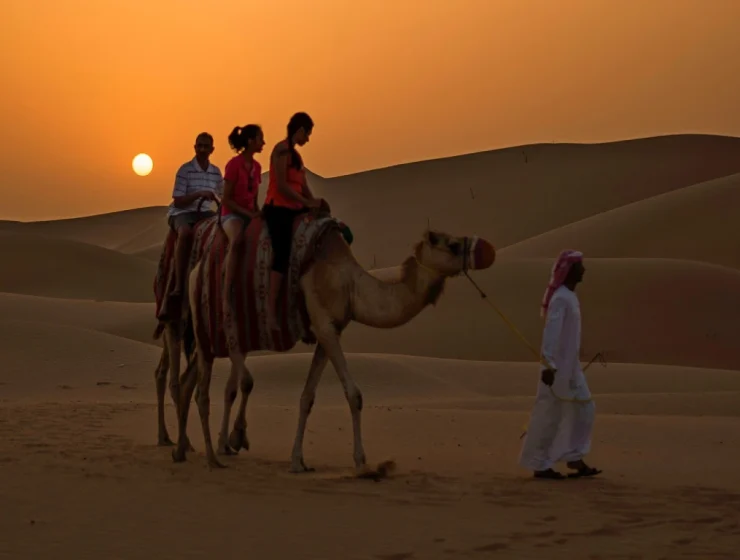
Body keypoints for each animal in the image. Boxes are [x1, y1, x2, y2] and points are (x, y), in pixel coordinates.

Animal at [171, 212, 496, 473]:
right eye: (452, 244)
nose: (487, 249)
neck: (351, 285)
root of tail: (195, 271)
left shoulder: (329, 331)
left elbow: (307, 397)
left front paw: (298, 461)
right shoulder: (325, 326)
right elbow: (355, 395)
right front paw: (361, 461)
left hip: (212, 338)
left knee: (191, 383)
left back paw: (181, 450)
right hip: (208, 328)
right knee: (208, 388)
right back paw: (217, 452)